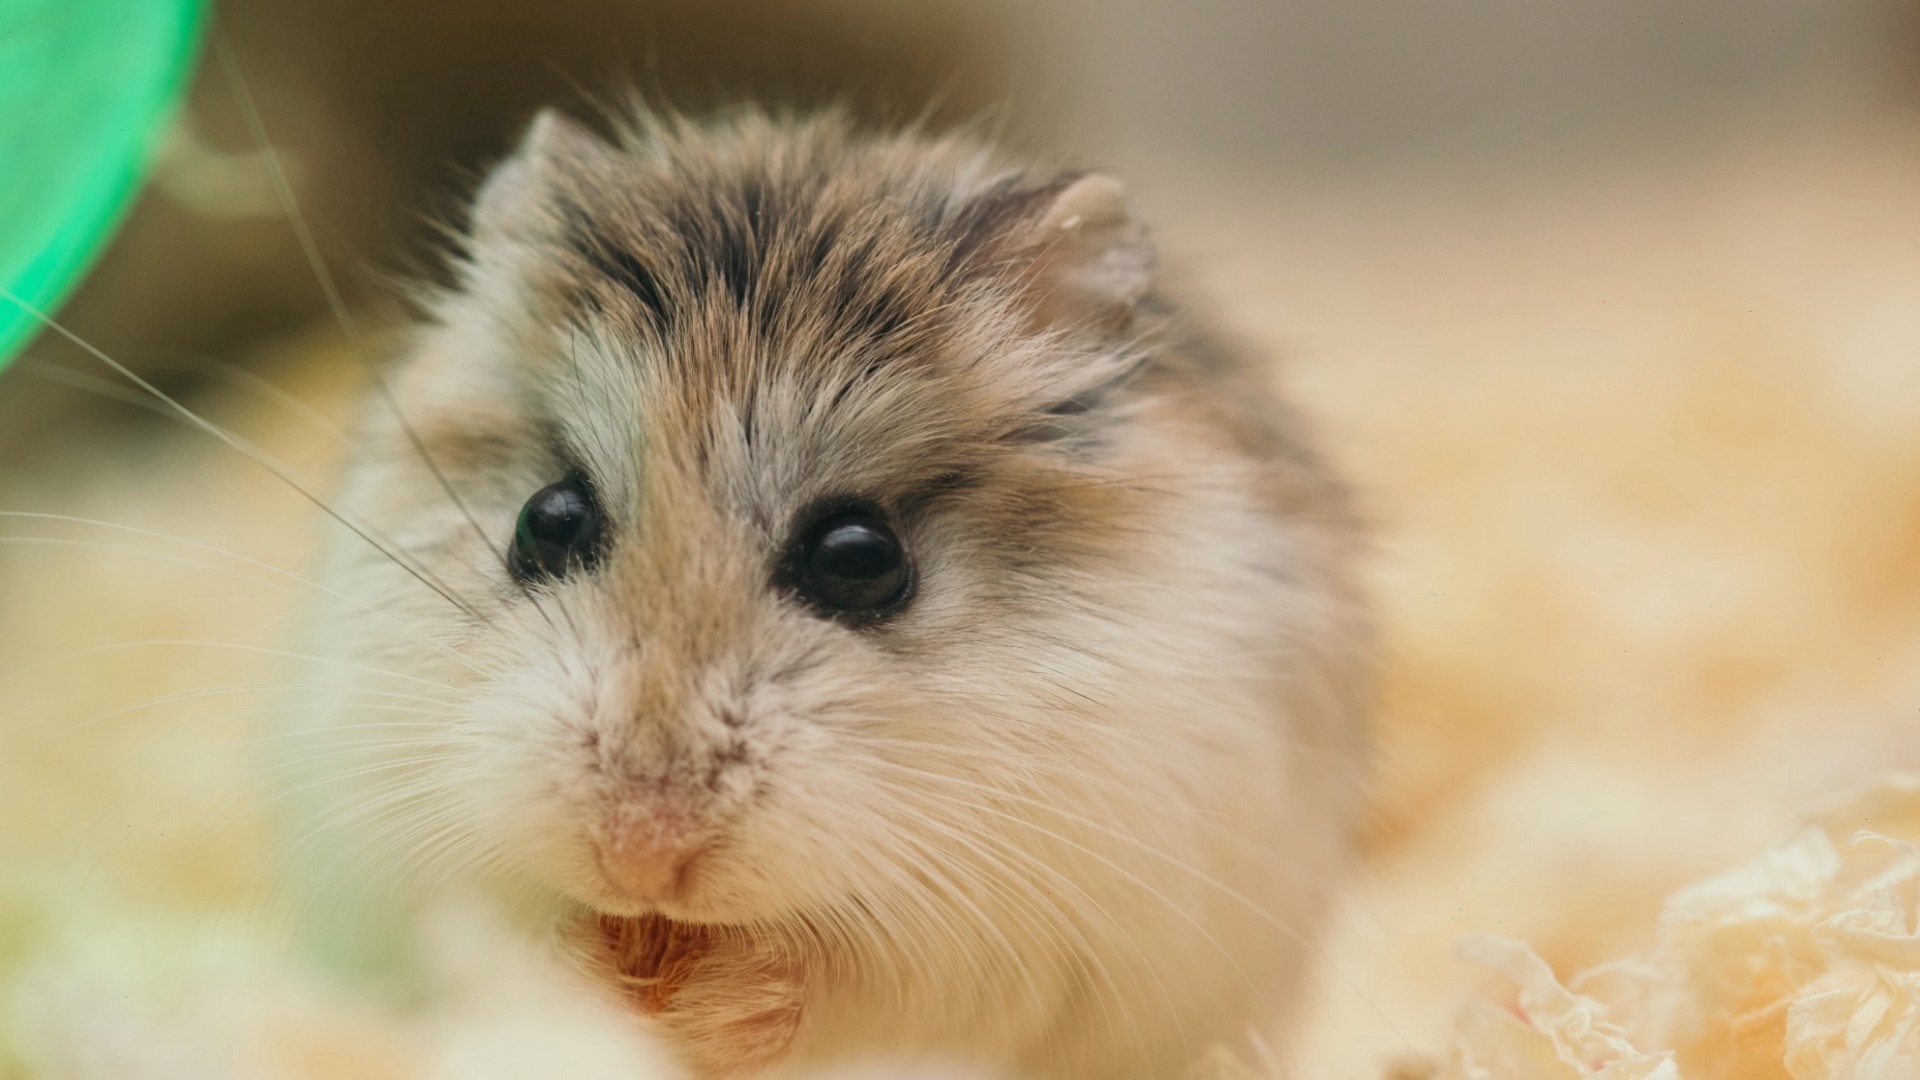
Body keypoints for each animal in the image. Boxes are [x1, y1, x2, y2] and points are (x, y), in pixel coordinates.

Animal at [298, 105, 1375, 1080]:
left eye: (860, 559)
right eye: (546, 521)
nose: (642, 857)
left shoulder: (1027, 931)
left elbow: (847, 984)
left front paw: (714, 1009)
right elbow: (488, 941)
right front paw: (594, 981)